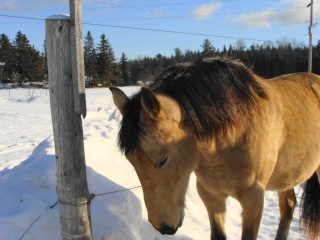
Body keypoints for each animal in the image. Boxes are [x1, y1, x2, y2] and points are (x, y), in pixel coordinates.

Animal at [109, 58, 320, 240]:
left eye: (163, 159)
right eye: (131, 161)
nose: (163, 227)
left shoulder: (253, 200)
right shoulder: (211, 196)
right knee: (288, 206)